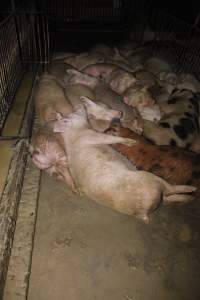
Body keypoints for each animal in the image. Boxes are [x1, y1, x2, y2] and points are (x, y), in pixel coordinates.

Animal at [54, 101, 196, 223]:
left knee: (167, 198)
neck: (74, 133)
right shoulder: (92, 136)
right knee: (170, 190)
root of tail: (144, 211)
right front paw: (131, 142)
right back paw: (192, 191)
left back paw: (189, 197)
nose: (80, 103)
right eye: (73, 114)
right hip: (152, 179)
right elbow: (109, 138)